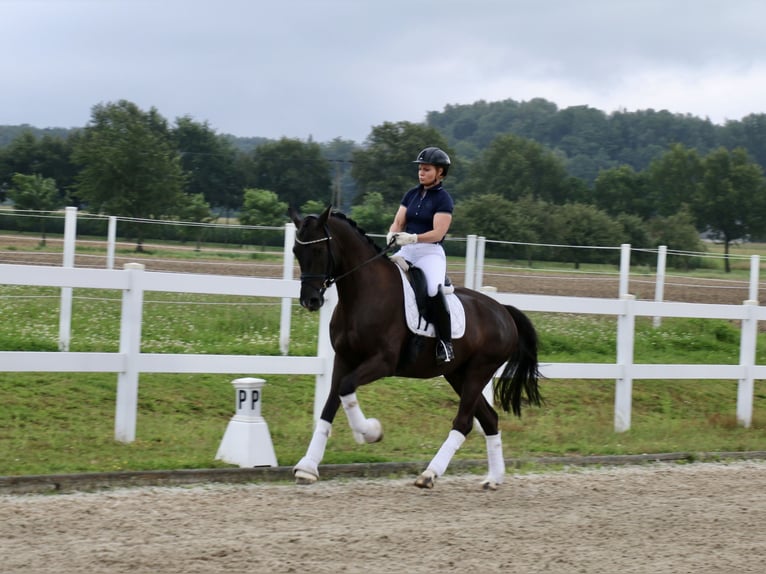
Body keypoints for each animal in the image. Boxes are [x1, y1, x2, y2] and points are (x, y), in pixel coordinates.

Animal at [290, 207, 544, 490]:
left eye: (318, 250)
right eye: (296, 251)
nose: (310, 300)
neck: (363, 294)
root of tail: (503, 311)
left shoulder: (383, 362)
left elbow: (346, 388)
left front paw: (370, 432)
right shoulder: (344, 359)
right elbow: (330, 404)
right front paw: (307, 467)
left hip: (479, 371)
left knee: (464, 422)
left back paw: (430, 474)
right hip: (458, 374)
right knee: (489, 418)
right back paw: (493, 478)